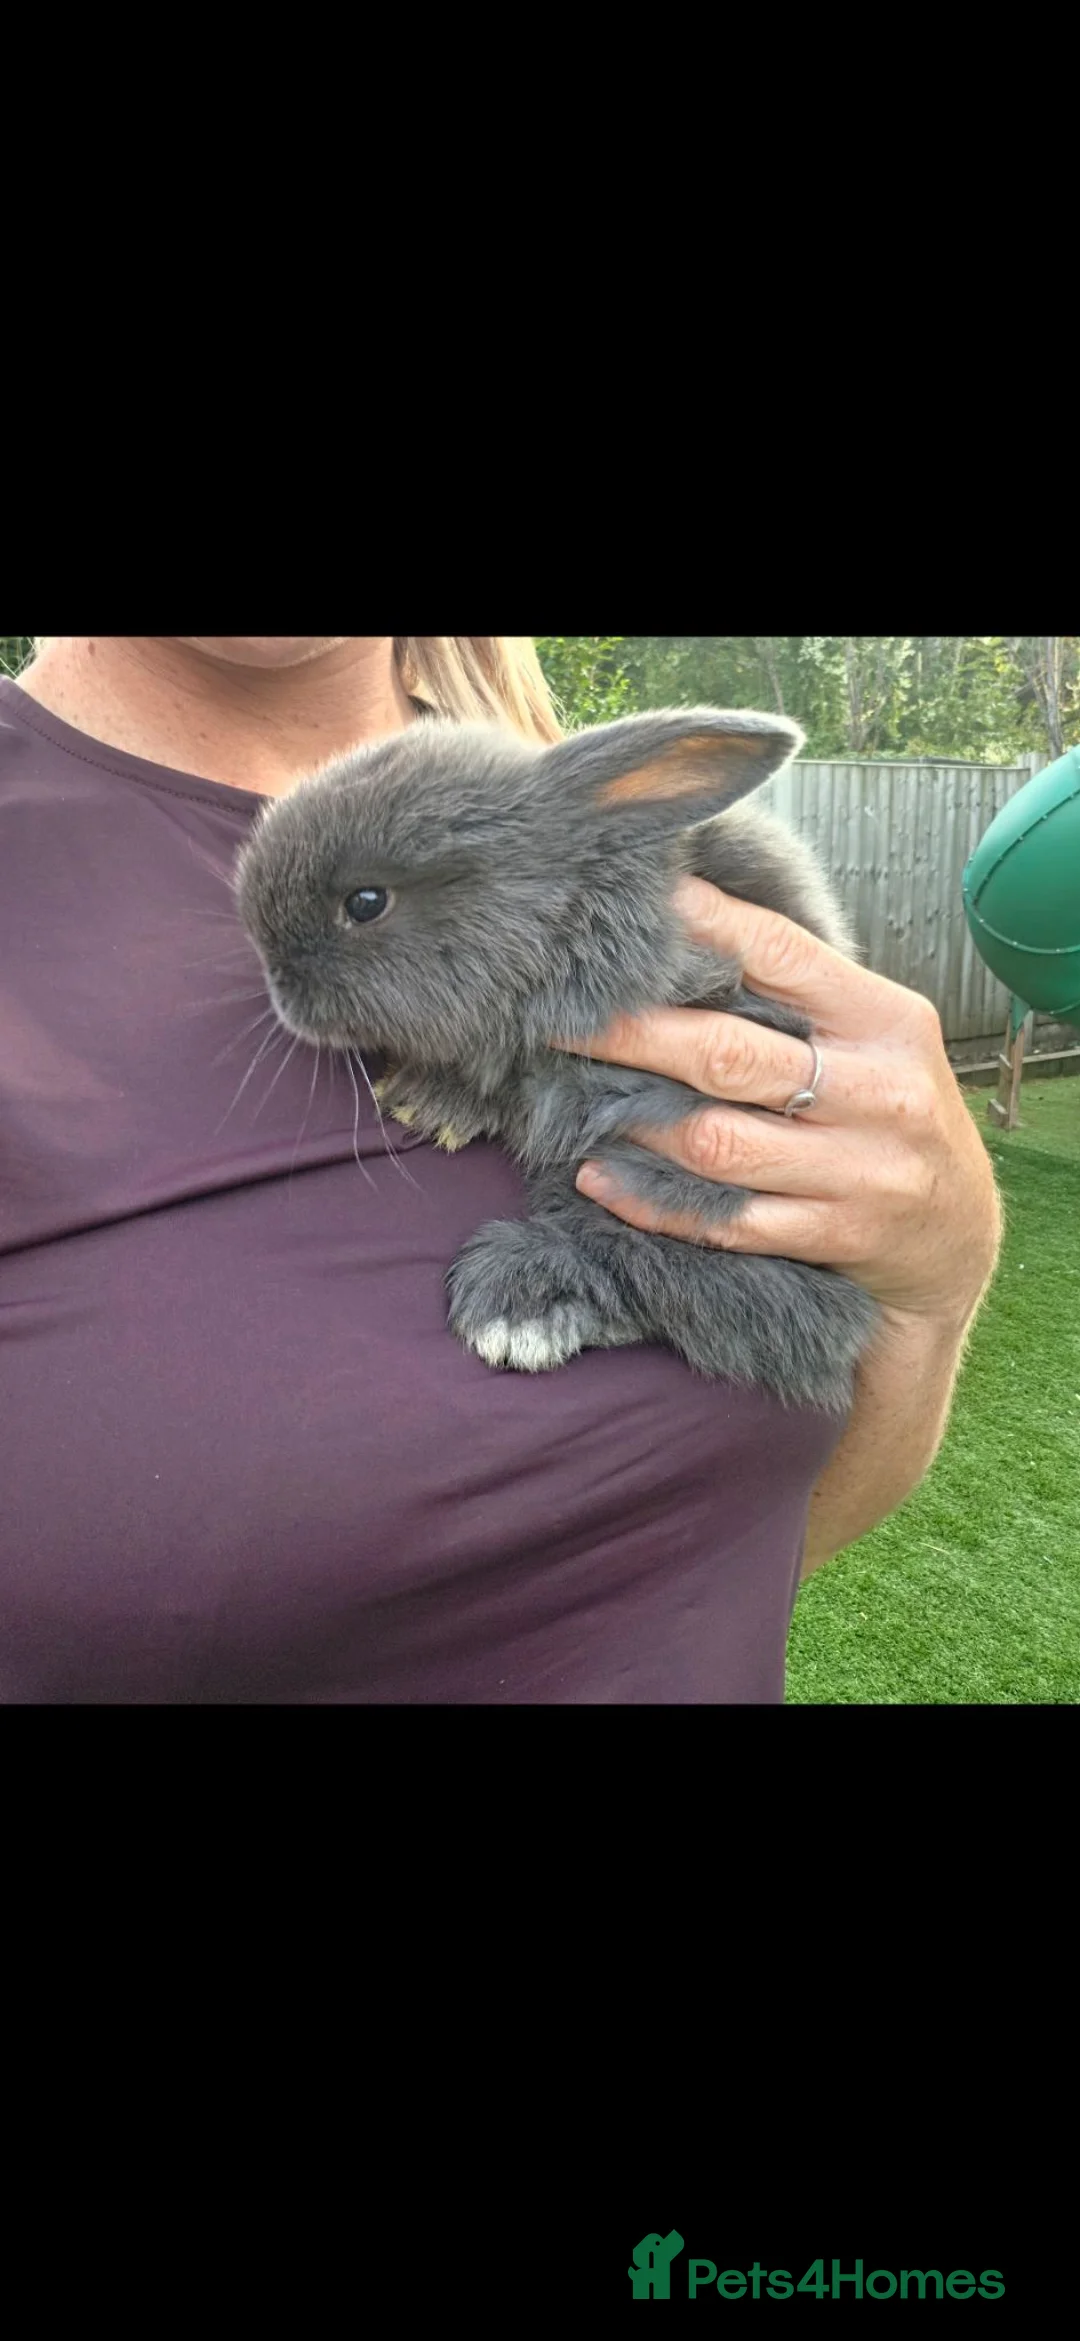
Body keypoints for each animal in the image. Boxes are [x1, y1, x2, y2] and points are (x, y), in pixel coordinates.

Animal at [233, 708, 880, 1412]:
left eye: (366, 902)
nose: (275, 982)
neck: (563, 913)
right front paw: (424, 1102)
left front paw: (427, 1103)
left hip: (654, 1183)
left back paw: (517, 1310)